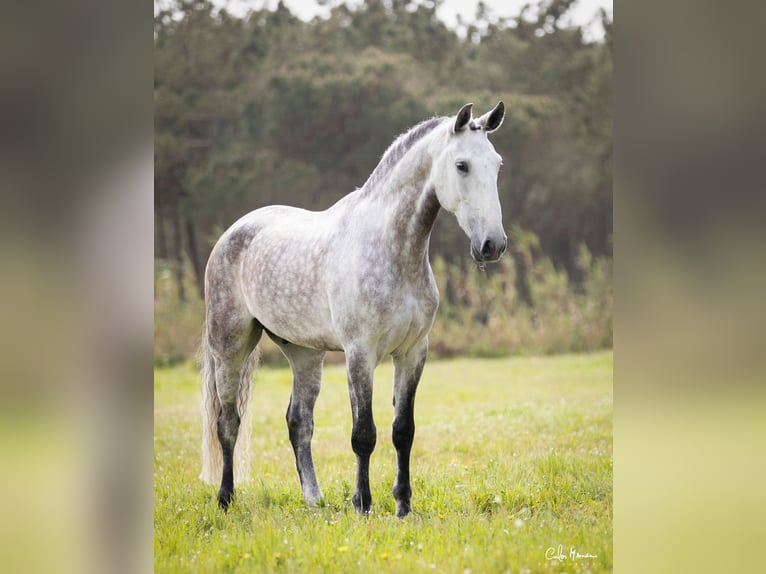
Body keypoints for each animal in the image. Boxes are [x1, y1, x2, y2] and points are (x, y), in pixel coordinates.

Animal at [201, 101, 508, 520]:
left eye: (497, 164)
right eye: (462, 165)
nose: (492, 245)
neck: (392, 249)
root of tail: (233, 233)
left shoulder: (413, 353)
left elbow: (402, 430)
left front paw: (403, 505)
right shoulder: (360, 353)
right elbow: (364, 433)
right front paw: (363, 504)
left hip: (304, 353)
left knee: (299, 422)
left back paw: (313, 499)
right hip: (229, 346)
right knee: (228, 422)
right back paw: (225, 499)